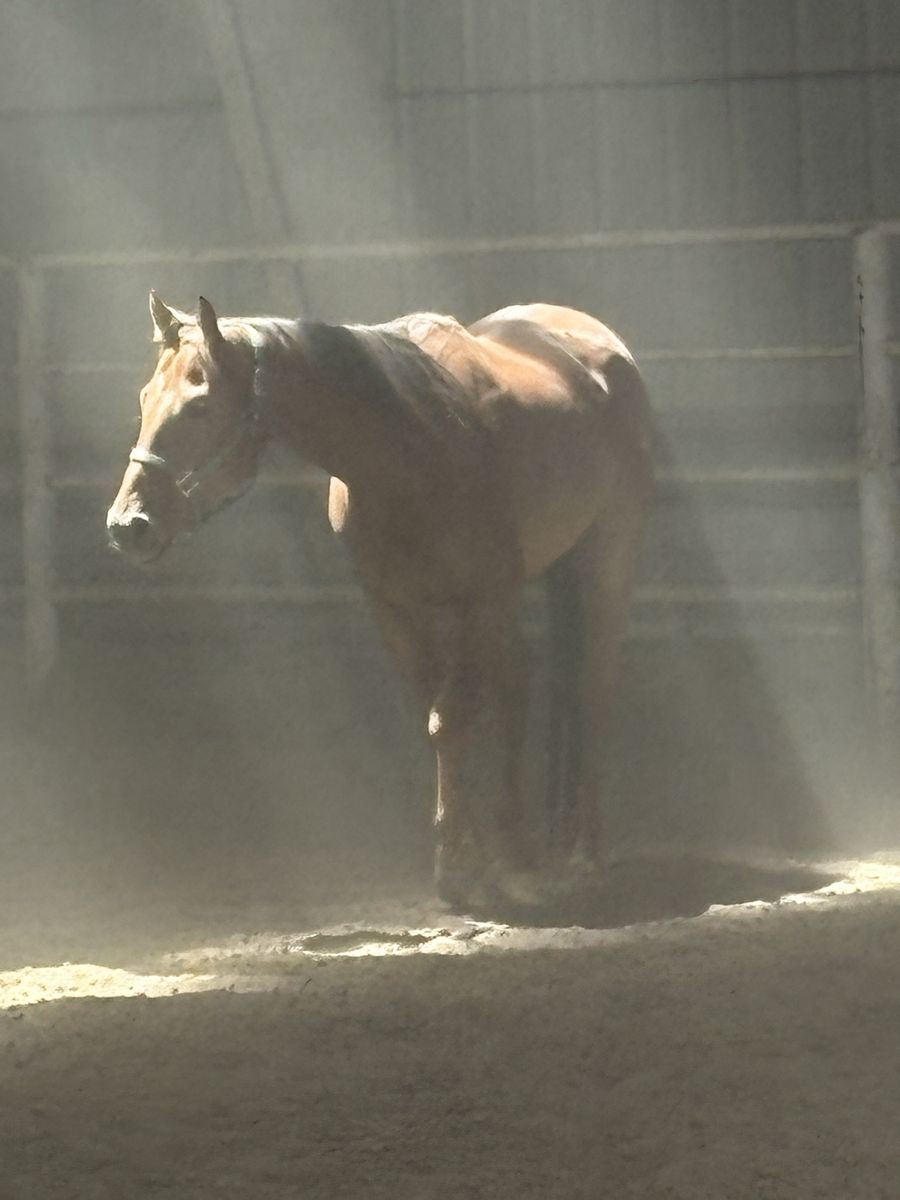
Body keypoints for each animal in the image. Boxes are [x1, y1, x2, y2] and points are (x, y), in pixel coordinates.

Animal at [107, 292, 653, 910]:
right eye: (146, 400)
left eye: (199, 406)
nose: (129, 526)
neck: (414, 443)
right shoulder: (396, 609)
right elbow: (439, 720)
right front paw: (472, 857)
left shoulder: (478, 599)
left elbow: (451, 719)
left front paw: (458, 866)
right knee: (521, 684)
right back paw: (521, 850)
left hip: (602, 561)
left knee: (591, 688)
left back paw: (584, 850)